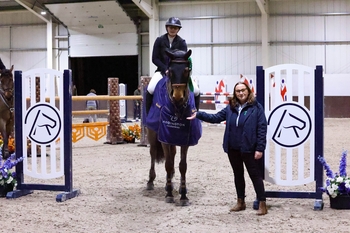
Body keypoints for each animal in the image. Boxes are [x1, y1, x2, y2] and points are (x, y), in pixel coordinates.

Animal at [145, 49, 202, 206]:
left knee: (173, 153)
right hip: (152, 133)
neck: (177, 107)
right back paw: (151, 181)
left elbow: (182, 165)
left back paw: (167, 182)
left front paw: (183, 195)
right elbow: (169, 164)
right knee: (153, 153)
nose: (177, 96)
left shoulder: (185, 138)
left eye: (187, 70)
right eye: (170, 71)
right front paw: (169, 195)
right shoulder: (164, 137)